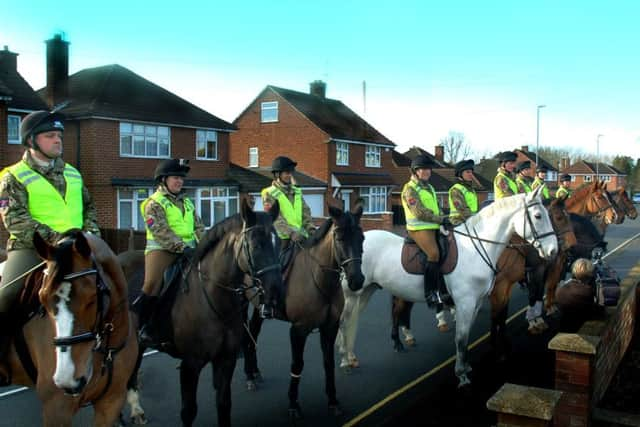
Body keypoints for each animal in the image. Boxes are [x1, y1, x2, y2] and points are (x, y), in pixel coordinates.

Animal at [0, 232, 138, 426]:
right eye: (42, 299)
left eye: (92, 299)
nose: (67, 380)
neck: (108, 350)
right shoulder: (57, 409)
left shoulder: (111, 402)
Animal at [123, 201, 282, 427]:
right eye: (256, 245)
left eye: (279, 244)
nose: (275, 292)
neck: (213, 300)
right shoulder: (190, 365)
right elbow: (188, 411)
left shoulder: (226, 359)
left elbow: (224, 404)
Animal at [241, 201, 364, 422]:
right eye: (340, 238)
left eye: (362, 238)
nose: (357, 280)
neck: (320, 279)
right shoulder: (298, 330)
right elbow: (297, 365)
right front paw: (293, 404)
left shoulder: (329, 327)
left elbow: (328, 363)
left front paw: (333, 401)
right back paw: (249, 377)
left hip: (258, 308)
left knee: (252, 334)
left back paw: (254, 372)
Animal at [338, 188, 556, 388]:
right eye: (538, 216)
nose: (553, 250)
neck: (476, 249)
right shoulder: (466, 303)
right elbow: (461, 338)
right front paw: (461, 374)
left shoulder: (476, 303)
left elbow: (467, 336)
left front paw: (466, 366)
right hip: (352, 294)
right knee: (345, 321)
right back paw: (345, 360)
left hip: (367, 291)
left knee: (355, 320)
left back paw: (351, 355)